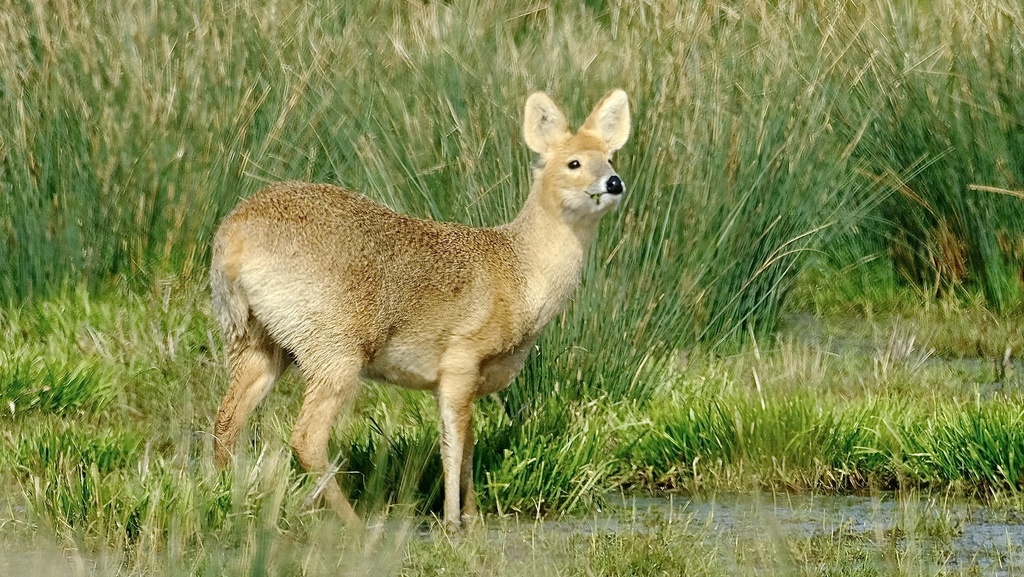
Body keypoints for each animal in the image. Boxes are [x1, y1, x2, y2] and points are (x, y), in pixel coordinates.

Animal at [209, 89, 630, 529]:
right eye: (573, 162)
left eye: (611, 157)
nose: (613, 183)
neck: (520, 271)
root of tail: (235, 234)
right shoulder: (461, 365)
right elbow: (454, 446)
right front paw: (452, 521)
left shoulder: (462, 382)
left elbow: (468, 444)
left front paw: (472, 517)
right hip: (335, 355)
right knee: (306, 438)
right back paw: (355, 524)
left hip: (256, 346)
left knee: (227, 421)